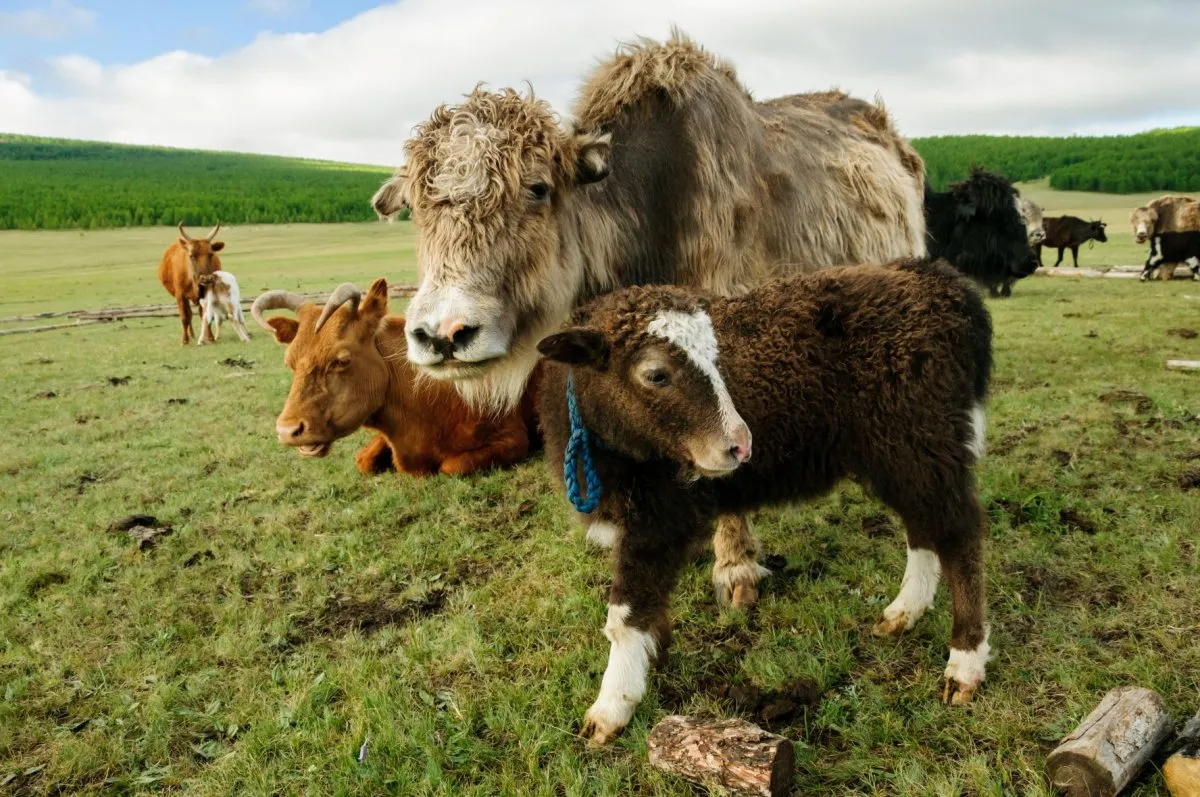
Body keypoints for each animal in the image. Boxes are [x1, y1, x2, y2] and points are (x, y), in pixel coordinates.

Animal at [250, 278, 537, 475]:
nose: (288, 430)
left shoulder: (513, 436)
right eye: (289, 362)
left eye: (342, 360)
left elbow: (451, 466)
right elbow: (363, 461)